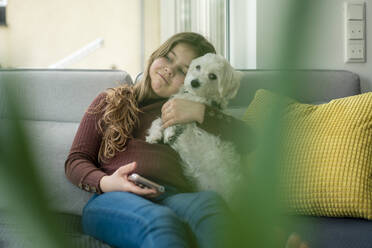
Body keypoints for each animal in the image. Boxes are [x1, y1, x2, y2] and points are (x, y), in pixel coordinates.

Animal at [145, 52, 244, 202]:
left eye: (213, 76)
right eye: (198, 67)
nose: (194, 82)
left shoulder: (184, 114)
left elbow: (172, 124)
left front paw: (169, 133)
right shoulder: (169, 113)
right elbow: (157, 121)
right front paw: (154, 136)